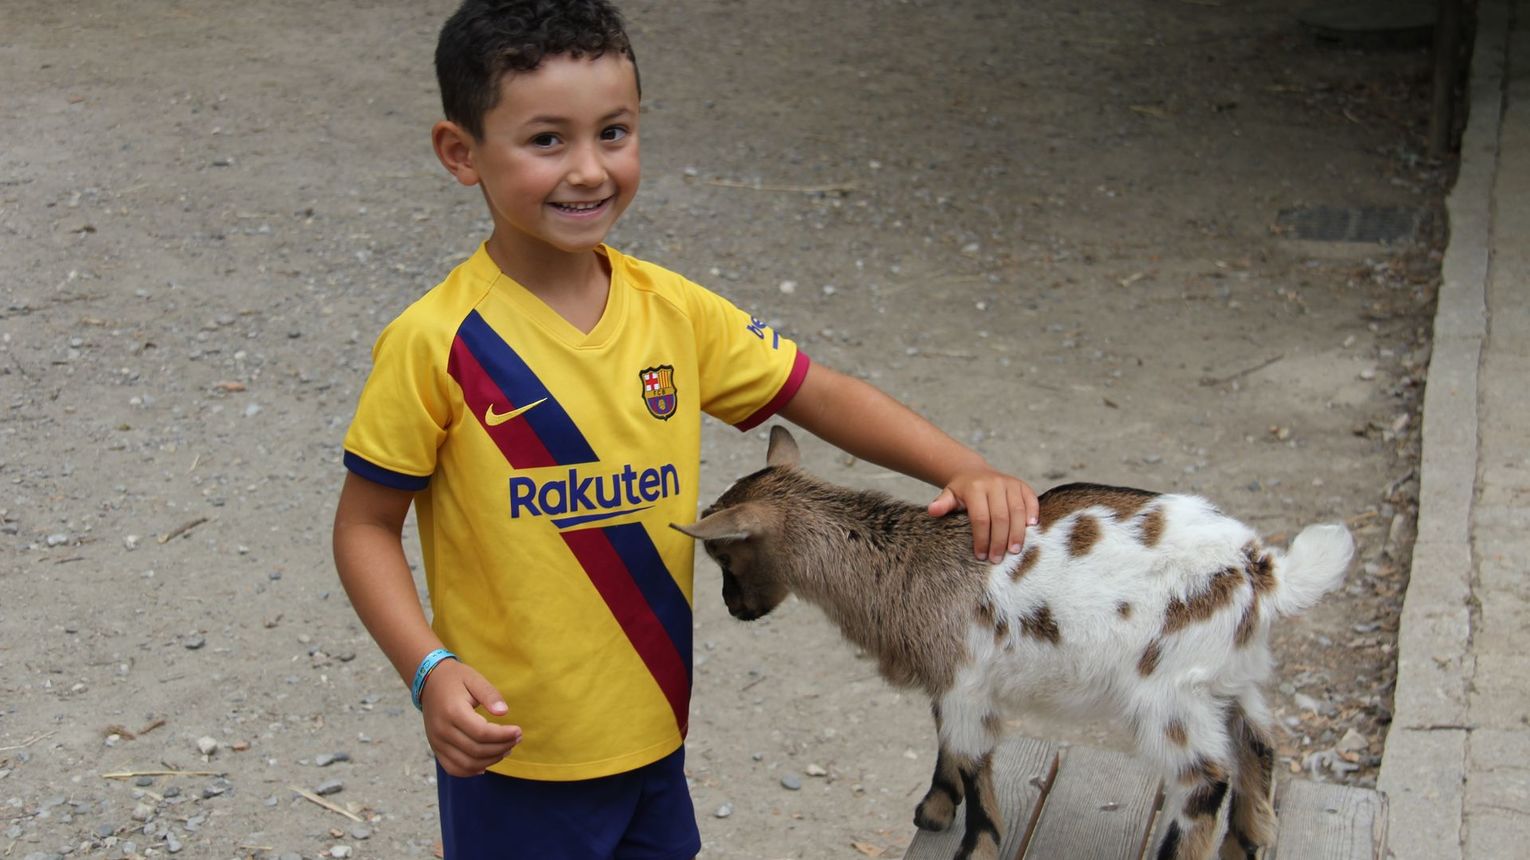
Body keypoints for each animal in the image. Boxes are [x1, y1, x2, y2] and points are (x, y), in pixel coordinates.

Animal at [673, 422, 1352, 856]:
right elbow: (947, 744)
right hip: (1231, 671)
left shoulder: (966, 683)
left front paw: (974, 844)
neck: (911, 560)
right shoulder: (950, 676)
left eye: (723, 555)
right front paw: (933, 810)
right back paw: (1252, 839)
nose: (734, 609)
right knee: (1258, 742)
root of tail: (1262, 569)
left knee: (1205, 780)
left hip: (1170, 694)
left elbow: (975, 763)